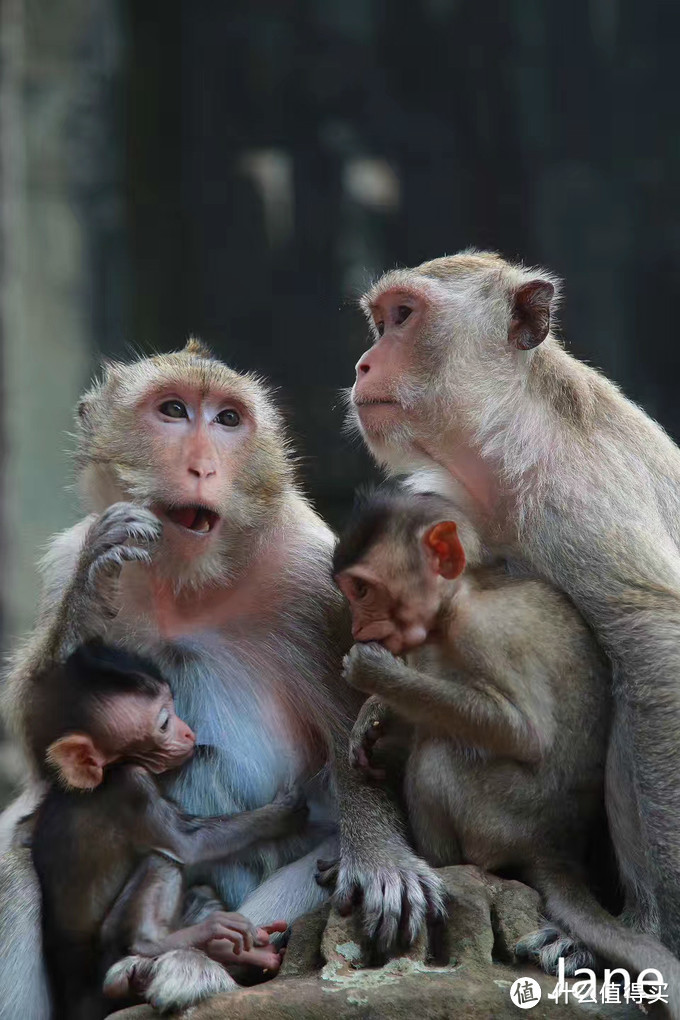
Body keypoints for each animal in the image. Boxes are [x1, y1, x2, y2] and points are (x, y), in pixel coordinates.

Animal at [25, 640, 307, 1020]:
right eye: (163, 722)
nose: (188, 731)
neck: (107, 774)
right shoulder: (133, 786)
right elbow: (186, 845)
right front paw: (283, 812)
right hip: (107, 960)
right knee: (165, 860)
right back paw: (163, 945)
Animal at [346, 246, 680, 962]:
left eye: (403, 317)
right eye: (380, 321)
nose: (363, 364)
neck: (511, 446)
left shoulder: (583, 502)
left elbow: (654, 645)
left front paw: (658, 929)